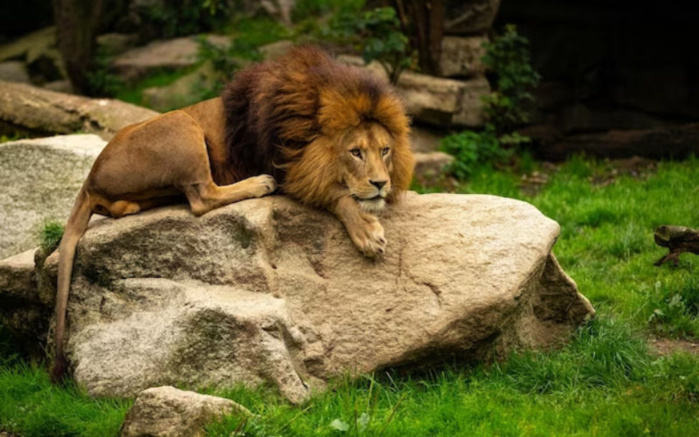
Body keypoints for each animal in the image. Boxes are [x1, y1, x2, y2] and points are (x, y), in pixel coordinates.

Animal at [51, 46, 415, 380]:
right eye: (355, 152)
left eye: (385, 150)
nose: (381, 183)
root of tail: (90, 178)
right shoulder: (290, 169)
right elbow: (339, 195)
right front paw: (367, 231)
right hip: (182, 122)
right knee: (201, 197)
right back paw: (258, 184)